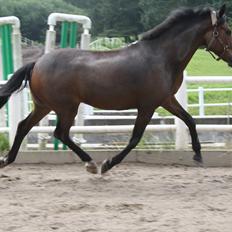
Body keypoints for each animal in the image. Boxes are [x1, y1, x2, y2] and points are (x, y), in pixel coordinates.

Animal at [0, 4, 232, 174]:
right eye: (228, 31)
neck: (162, 57)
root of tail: (37, 63)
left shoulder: (166, 99)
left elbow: (190, 120)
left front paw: (198, 155)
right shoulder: (147, 105)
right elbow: (135, 138)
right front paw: (108, 163)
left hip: (44, 106)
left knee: (23, 126)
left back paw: (7, 159)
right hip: (66, 107)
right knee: (60, 133)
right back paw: (91, 163)